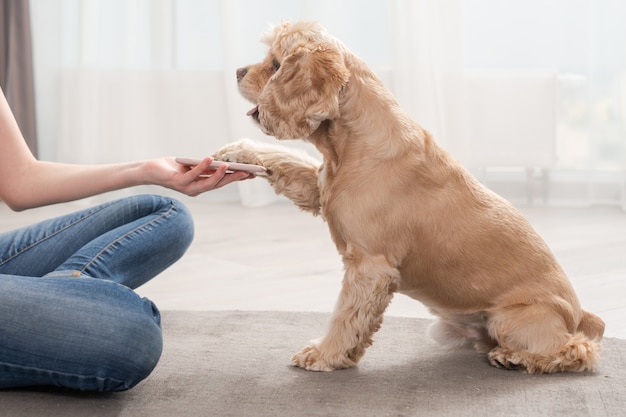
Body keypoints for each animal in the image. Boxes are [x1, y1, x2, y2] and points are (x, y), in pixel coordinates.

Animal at [212, 19, 604, 372]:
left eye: (276, 64)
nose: (237, 71)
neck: (351, 145)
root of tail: (578, 313)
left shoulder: (370, 266)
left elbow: (344, 316)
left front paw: (324, 355)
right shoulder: (320, 189)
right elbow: (286, 159)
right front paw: (236, 151)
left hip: (512, 319)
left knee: (577, 350)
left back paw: (517, 357)